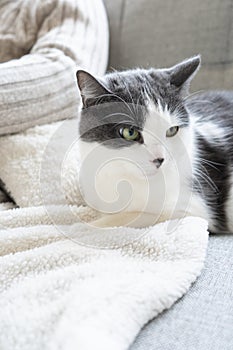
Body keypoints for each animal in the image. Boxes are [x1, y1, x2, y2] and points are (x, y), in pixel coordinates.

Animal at [76, 56, 233, 234]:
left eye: (172, 130)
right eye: (130, 132)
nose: (160, 159)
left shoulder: (194, 208)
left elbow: (132, 216)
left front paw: (82, 227)